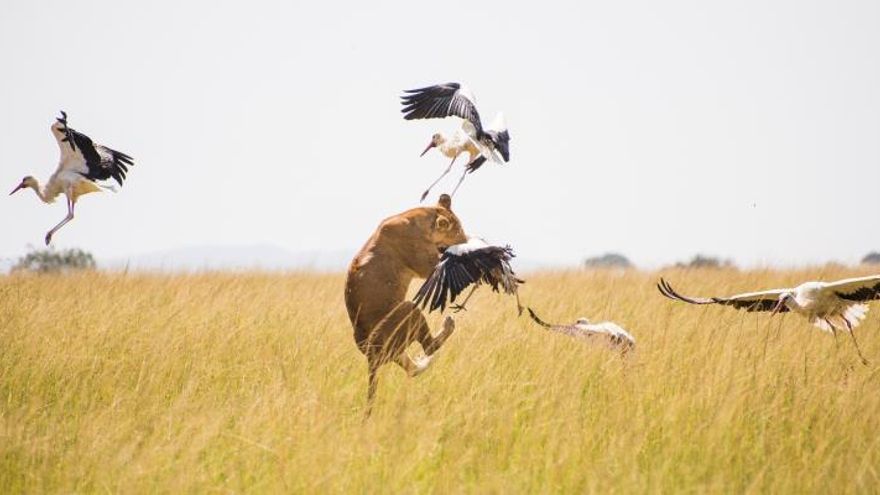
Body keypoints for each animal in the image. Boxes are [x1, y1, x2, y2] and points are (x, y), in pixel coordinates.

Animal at [344, 194, 468, 415]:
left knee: (413, 369)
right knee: (430, 346)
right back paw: (447, 327)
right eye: (459, 232)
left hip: (396, 348)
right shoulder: (425, 265)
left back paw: (423, 362)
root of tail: (371, 356)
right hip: (408, 309)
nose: (467, 240)